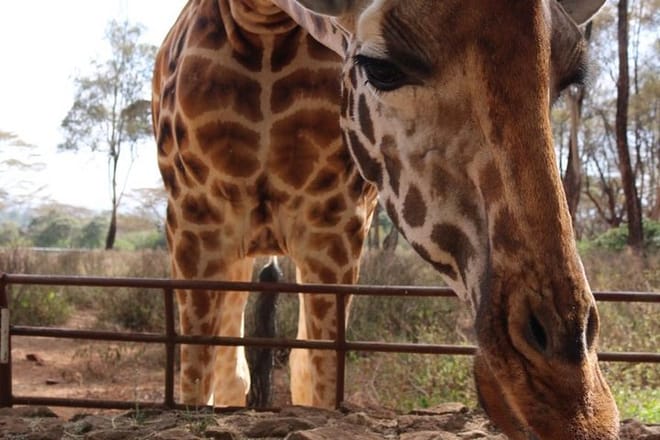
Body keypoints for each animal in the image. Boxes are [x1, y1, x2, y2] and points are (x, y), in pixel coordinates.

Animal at [151, 1, 619, 439]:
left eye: (569, 77)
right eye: (382, 69)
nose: (574, 406)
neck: (264, 26)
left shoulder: (335, 228)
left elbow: (317, 378)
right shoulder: (195, 223)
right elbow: (196, 383)